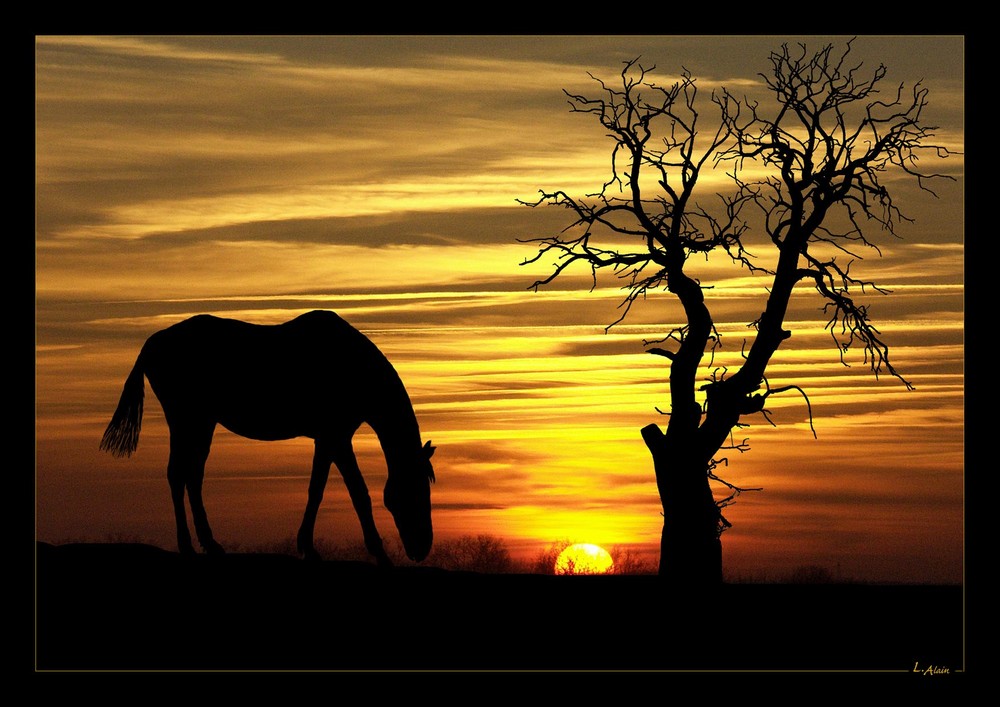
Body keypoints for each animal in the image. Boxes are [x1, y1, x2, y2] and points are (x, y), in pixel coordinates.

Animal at [98, 312, 438, 568]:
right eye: (417, 491)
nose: (421, 549)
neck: (355, 369)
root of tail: (154, 342)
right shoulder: (336, 437)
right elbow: (353, 493)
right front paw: (377, 554)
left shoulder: (330, 439)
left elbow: (321, 490)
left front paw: (309, 547)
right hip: (188, 420)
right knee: (180, 474)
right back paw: (190, 545)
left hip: (198, 424)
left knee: (190, 476)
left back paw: (206, 544)